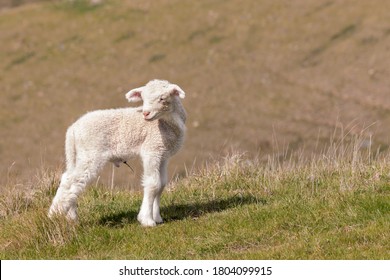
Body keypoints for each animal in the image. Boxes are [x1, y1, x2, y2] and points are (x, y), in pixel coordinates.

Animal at [48, 79, 188, 228]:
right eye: (143, 98)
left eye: (162, 98)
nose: (145, 113)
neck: (166, 123)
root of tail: (73, 129)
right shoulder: (151, 150)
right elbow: (153, 184)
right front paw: (147, 220)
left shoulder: (163, 154)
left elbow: (161, 184)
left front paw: (157, 217)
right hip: (91, 154)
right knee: (75, 181)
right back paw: (55, 214)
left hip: (77, 155)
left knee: (67, 179)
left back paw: (71, 216)